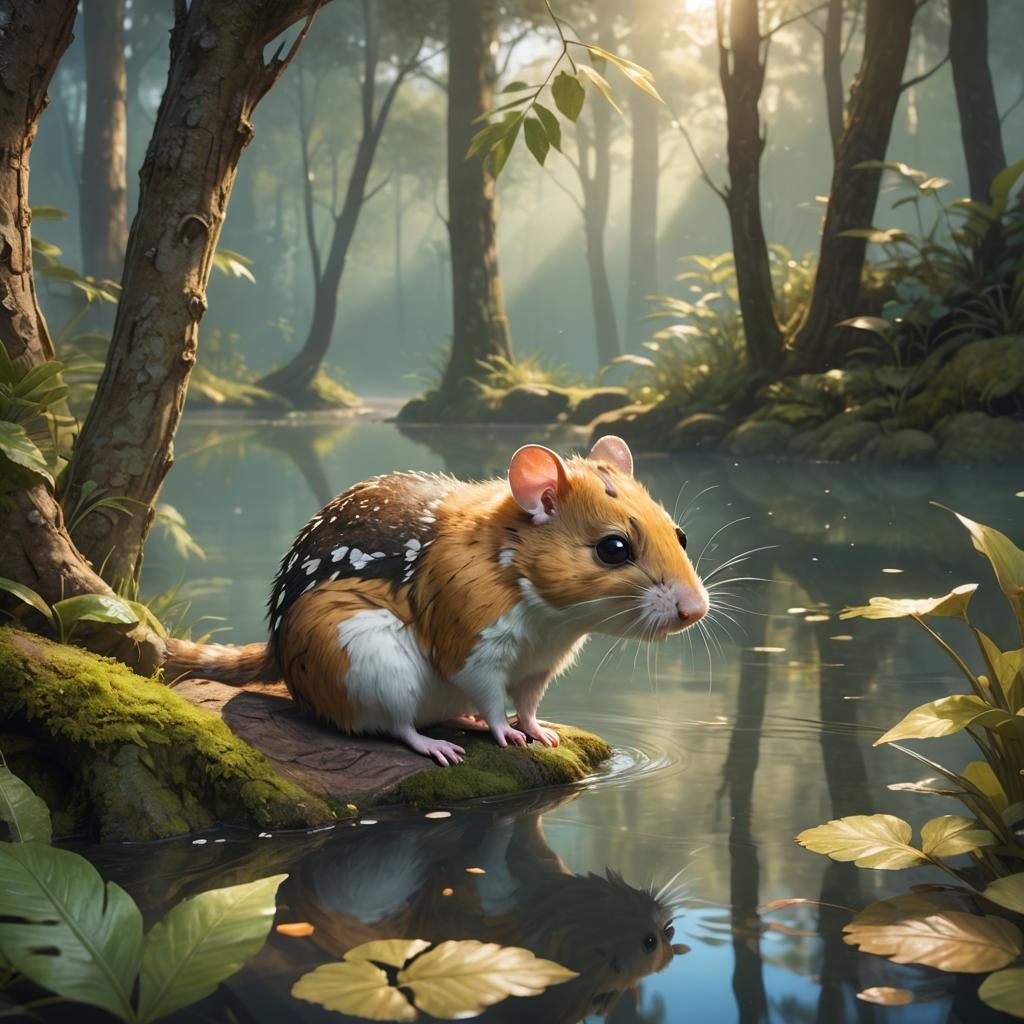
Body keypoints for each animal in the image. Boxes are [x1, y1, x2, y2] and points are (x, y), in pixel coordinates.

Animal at [165, 435, 709, 764]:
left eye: (680, 535)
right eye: (613, 548)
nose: (696, 609)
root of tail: (277, 650)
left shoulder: (540, 664)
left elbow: (528, 701)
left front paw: (540, 731)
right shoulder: (472, 642)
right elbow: (490, 696)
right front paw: (506, 733)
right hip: (368, 666)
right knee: (392, 726)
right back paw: (435, 744)